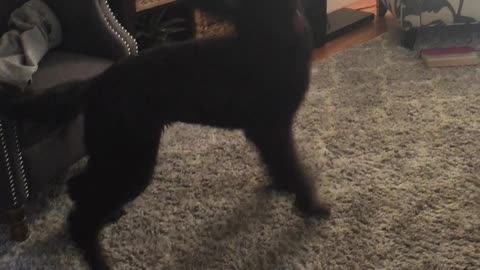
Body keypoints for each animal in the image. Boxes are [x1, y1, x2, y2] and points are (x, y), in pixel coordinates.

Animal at [0, 0, 330, 268]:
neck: (271, 35)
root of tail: (95, 83)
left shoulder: (266, 132)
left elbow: (281, 165)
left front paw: (283, 187)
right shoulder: (273, 128)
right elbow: (294, 169)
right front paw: (311, 206)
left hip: (114, 151)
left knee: (79, 187)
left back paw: (109, 213)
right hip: (131, 159)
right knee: (81, 220)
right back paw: (100, 259)